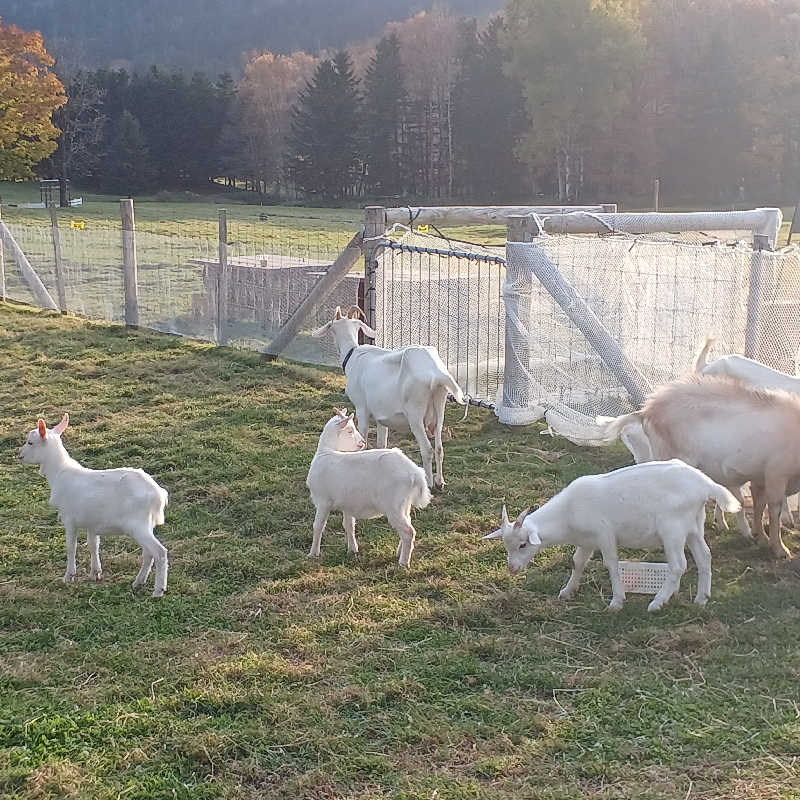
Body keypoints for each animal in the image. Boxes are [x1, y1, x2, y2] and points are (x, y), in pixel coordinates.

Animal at [18, 416, 170, 596]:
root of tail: (158, 494)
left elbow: (71, 547)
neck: (59, 473)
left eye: (30, 442)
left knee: (159, 552)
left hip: (137, 524)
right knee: (148, 553)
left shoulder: (69, 519)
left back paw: (158, 590)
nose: (19, 455)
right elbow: (93, 545)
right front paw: (95, 573)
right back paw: (138, 582)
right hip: (147, 524)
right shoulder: (92, 523)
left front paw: (68, 576)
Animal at [306, 406, 432, 568]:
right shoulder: (347, 505)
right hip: (405, 503)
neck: (325, 452)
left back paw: (403, 563)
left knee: (409, 531)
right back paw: (400, 552)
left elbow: (318, 526)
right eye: (350, 431)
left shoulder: (323, 501)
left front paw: (313, 554)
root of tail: (415, 472)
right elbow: (349, 525)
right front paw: (352, 549)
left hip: (393, 505)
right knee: (408, 524)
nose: (362, 442)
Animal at [310, 306, 466, 490]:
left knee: (427, 448)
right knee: (439, 447)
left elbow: (363, 438)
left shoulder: (362, 408)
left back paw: (429, 483)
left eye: (332, 328)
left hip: (415, 414)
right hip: (439, 408)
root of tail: (436, 373)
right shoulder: (381, 416)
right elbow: (381, 444)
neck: (353, 356)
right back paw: (440, 481)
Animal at [482, 456, 736, 612]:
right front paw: (567, 591)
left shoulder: (604, 535)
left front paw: (616, 602)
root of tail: (705, 484)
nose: (512, 568)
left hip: (672, 528)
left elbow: (611, 564)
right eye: (506, 546)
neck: (567, 514)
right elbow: (577, 562)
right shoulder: (586, 541)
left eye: (523, 545)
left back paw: (657, 602)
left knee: (678, 565)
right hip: (693, 526)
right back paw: (701, 599)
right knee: (704, 557)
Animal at [600, 376, 800, 560]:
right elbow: (774, 509)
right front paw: (781, 550)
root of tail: (647, 410)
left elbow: (759, 505)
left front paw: (760, 537)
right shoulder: (776, 474)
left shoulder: (760, 476)